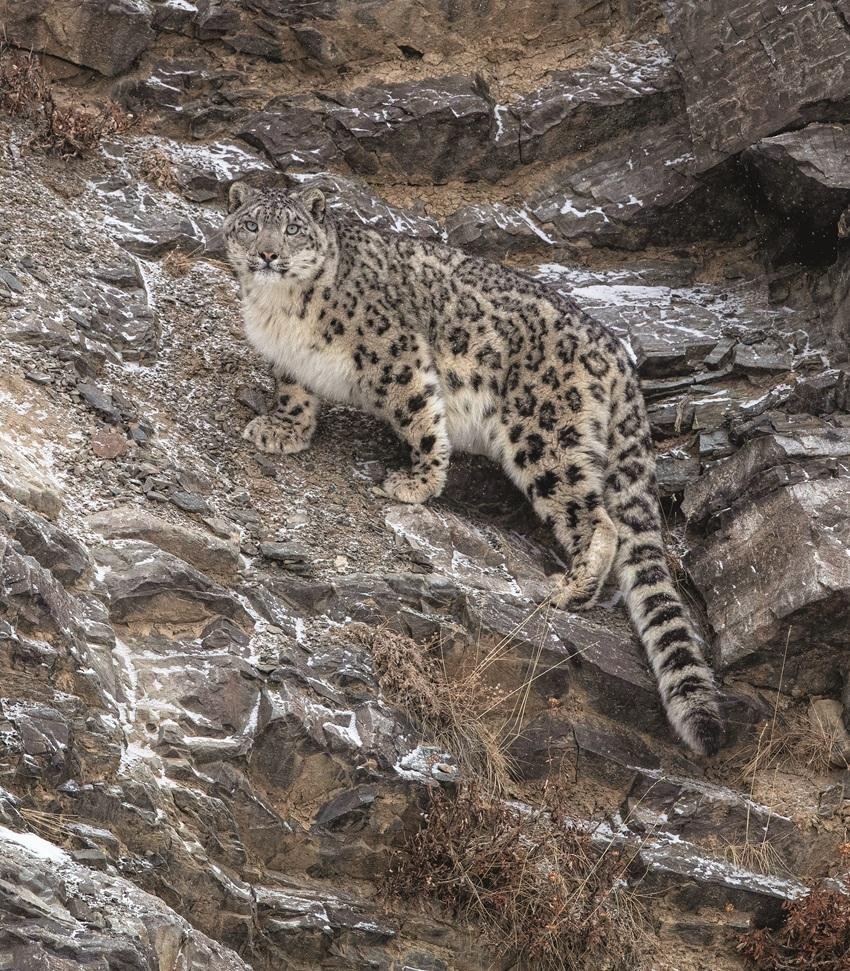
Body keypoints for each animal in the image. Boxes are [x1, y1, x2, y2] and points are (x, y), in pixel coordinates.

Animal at [223, 182, 723, 757]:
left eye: (292, 229)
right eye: (251, 224)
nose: (268, 255)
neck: (280, 311)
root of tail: (617, 354)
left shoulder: (396, 351)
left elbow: (419, 412)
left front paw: (417, 482)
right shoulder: (290, 362)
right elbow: (294, 395)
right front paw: (282, 430)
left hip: (542, 431)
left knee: (597, 517)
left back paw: (571, 587)